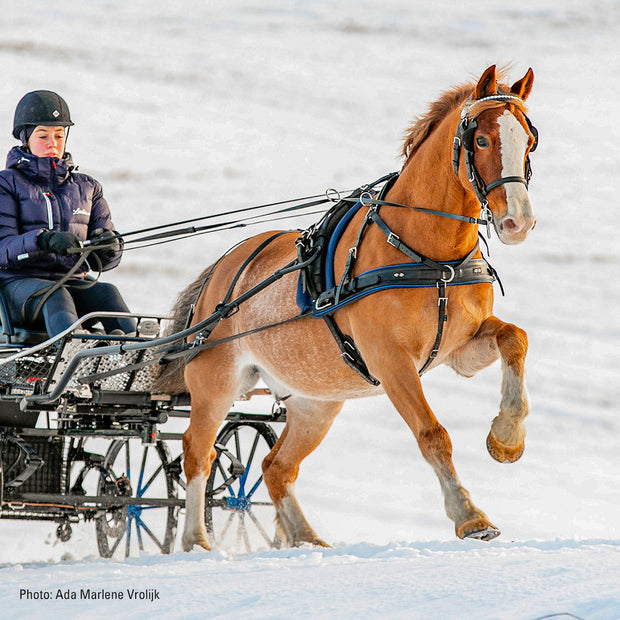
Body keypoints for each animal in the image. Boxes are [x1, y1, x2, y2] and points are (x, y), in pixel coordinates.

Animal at [159, 65, 536, 548]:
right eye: (483, 140)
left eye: (529, 141)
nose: (518, 222)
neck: (427, 254)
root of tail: (222, 271)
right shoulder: (391, 361)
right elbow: (432, 434)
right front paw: (470, 516)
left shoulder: (459, 350)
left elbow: (514, 338)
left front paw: (507, 437)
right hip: (217, 382)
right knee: (198, 453)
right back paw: (196, 540)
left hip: (315, 402)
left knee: (276, 467)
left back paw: (305, 537)